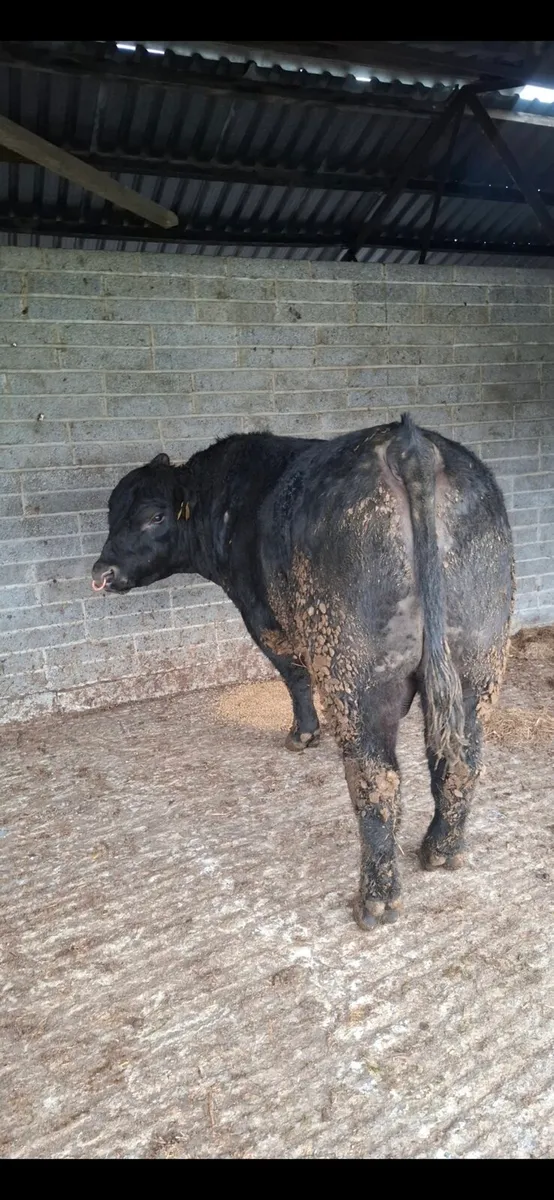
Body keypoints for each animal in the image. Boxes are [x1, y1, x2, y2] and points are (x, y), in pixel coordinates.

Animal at [91, 414, 514, 931]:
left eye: (155, 516)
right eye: (113, 510)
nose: (102, 572)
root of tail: (408, 442)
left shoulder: (264, 619)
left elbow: (293, 675)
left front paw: (302, 734)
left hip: (356, 678)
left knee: (376, 779)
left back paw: (376, 898)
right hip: (477, 665)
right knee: (461, 760)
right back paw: (441, 849)